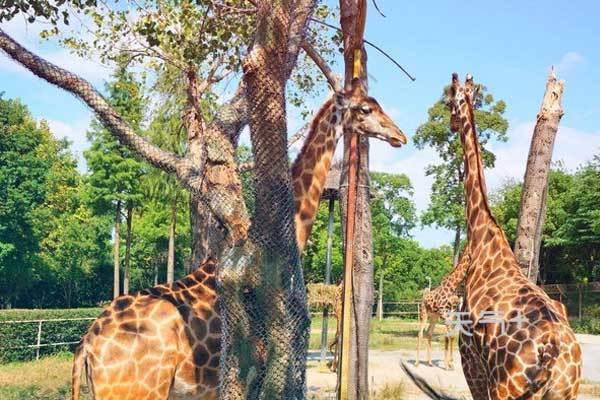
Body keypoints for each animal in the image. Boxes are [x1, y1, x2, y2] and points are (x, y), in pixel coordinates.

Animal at [404, 72, 580, 400]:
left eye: (449, 101)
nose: (451, 123)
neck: (485, 239)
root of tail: (554, 359)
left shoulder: (471, 358)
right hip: (564, 393)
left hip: (506, 387)